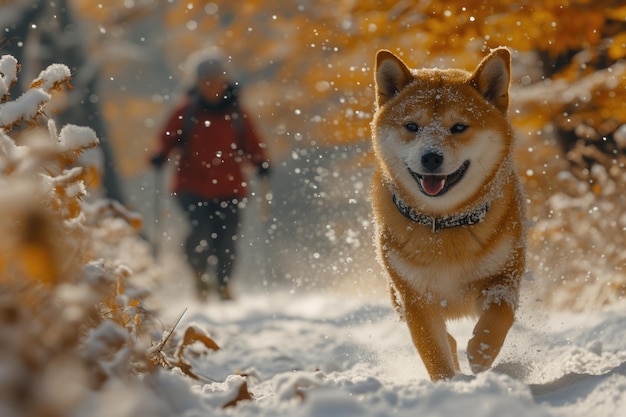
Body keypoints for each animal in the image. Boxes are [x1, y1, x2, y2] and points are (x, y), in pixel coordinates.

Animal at [368, 48, 524, 380]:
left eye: (459, 127)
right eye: (412, 126)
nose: (431, 157)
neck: (445, 224)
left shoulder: (505, 274)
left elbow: (500, 313)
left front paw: (482, 351)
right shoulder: (415, 298)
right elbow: (433, 349)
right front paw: (448, 383)